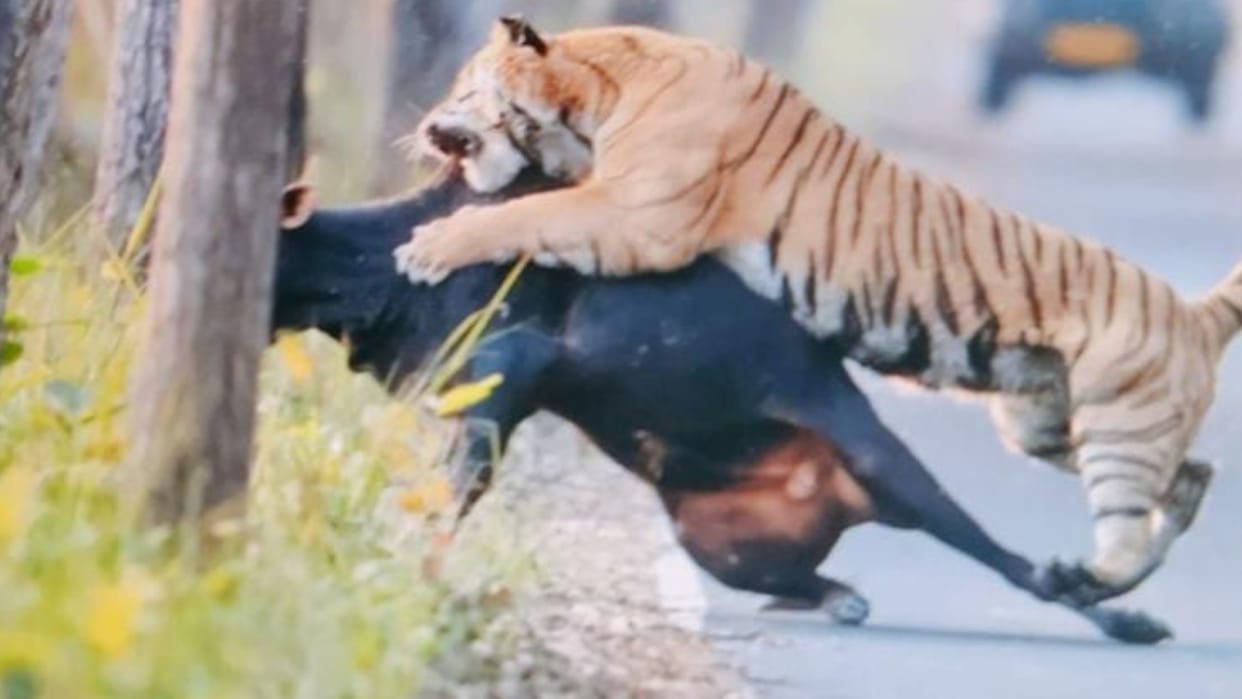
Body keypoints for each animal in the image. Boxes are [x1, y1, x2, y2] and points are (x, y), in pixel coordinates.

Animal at [393, 17, 1239, 605]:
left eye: (463, 86)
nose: (427, 125)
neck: (600, 92)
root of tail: (1196, 311)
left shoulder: (636, 215)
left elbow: (521, 215)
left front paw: (429, 244)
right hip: (1046, 424)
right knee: (1193, 475)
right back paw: (1099, 579)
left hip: (1114, 430)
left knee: (1135, 515)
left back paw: (1090, 578)